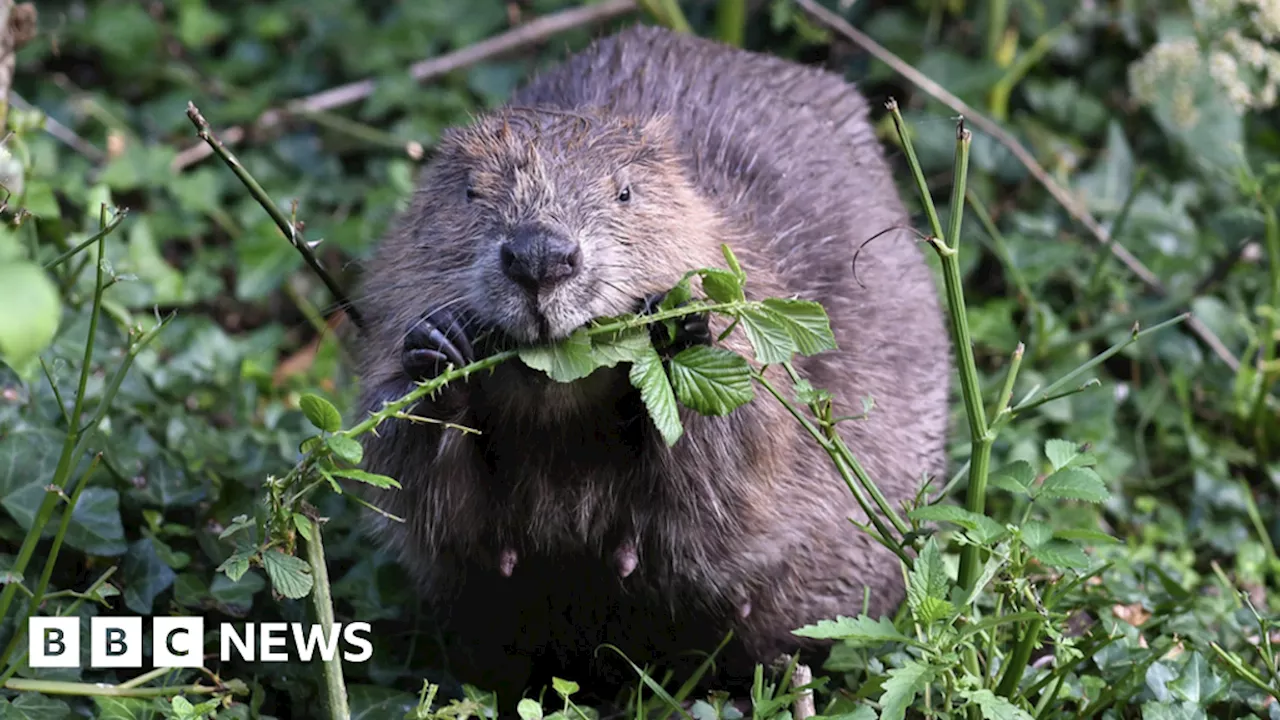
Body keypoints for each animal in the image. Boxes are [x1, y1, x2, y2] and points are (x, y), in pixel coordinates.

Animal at [350, 22, 952, 707]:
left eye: (625, 191)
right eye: (470, 191)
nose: (540, 257)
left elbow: (737, 464)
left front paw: (676, 328)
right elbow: (419, 493)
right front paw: (437, 352)